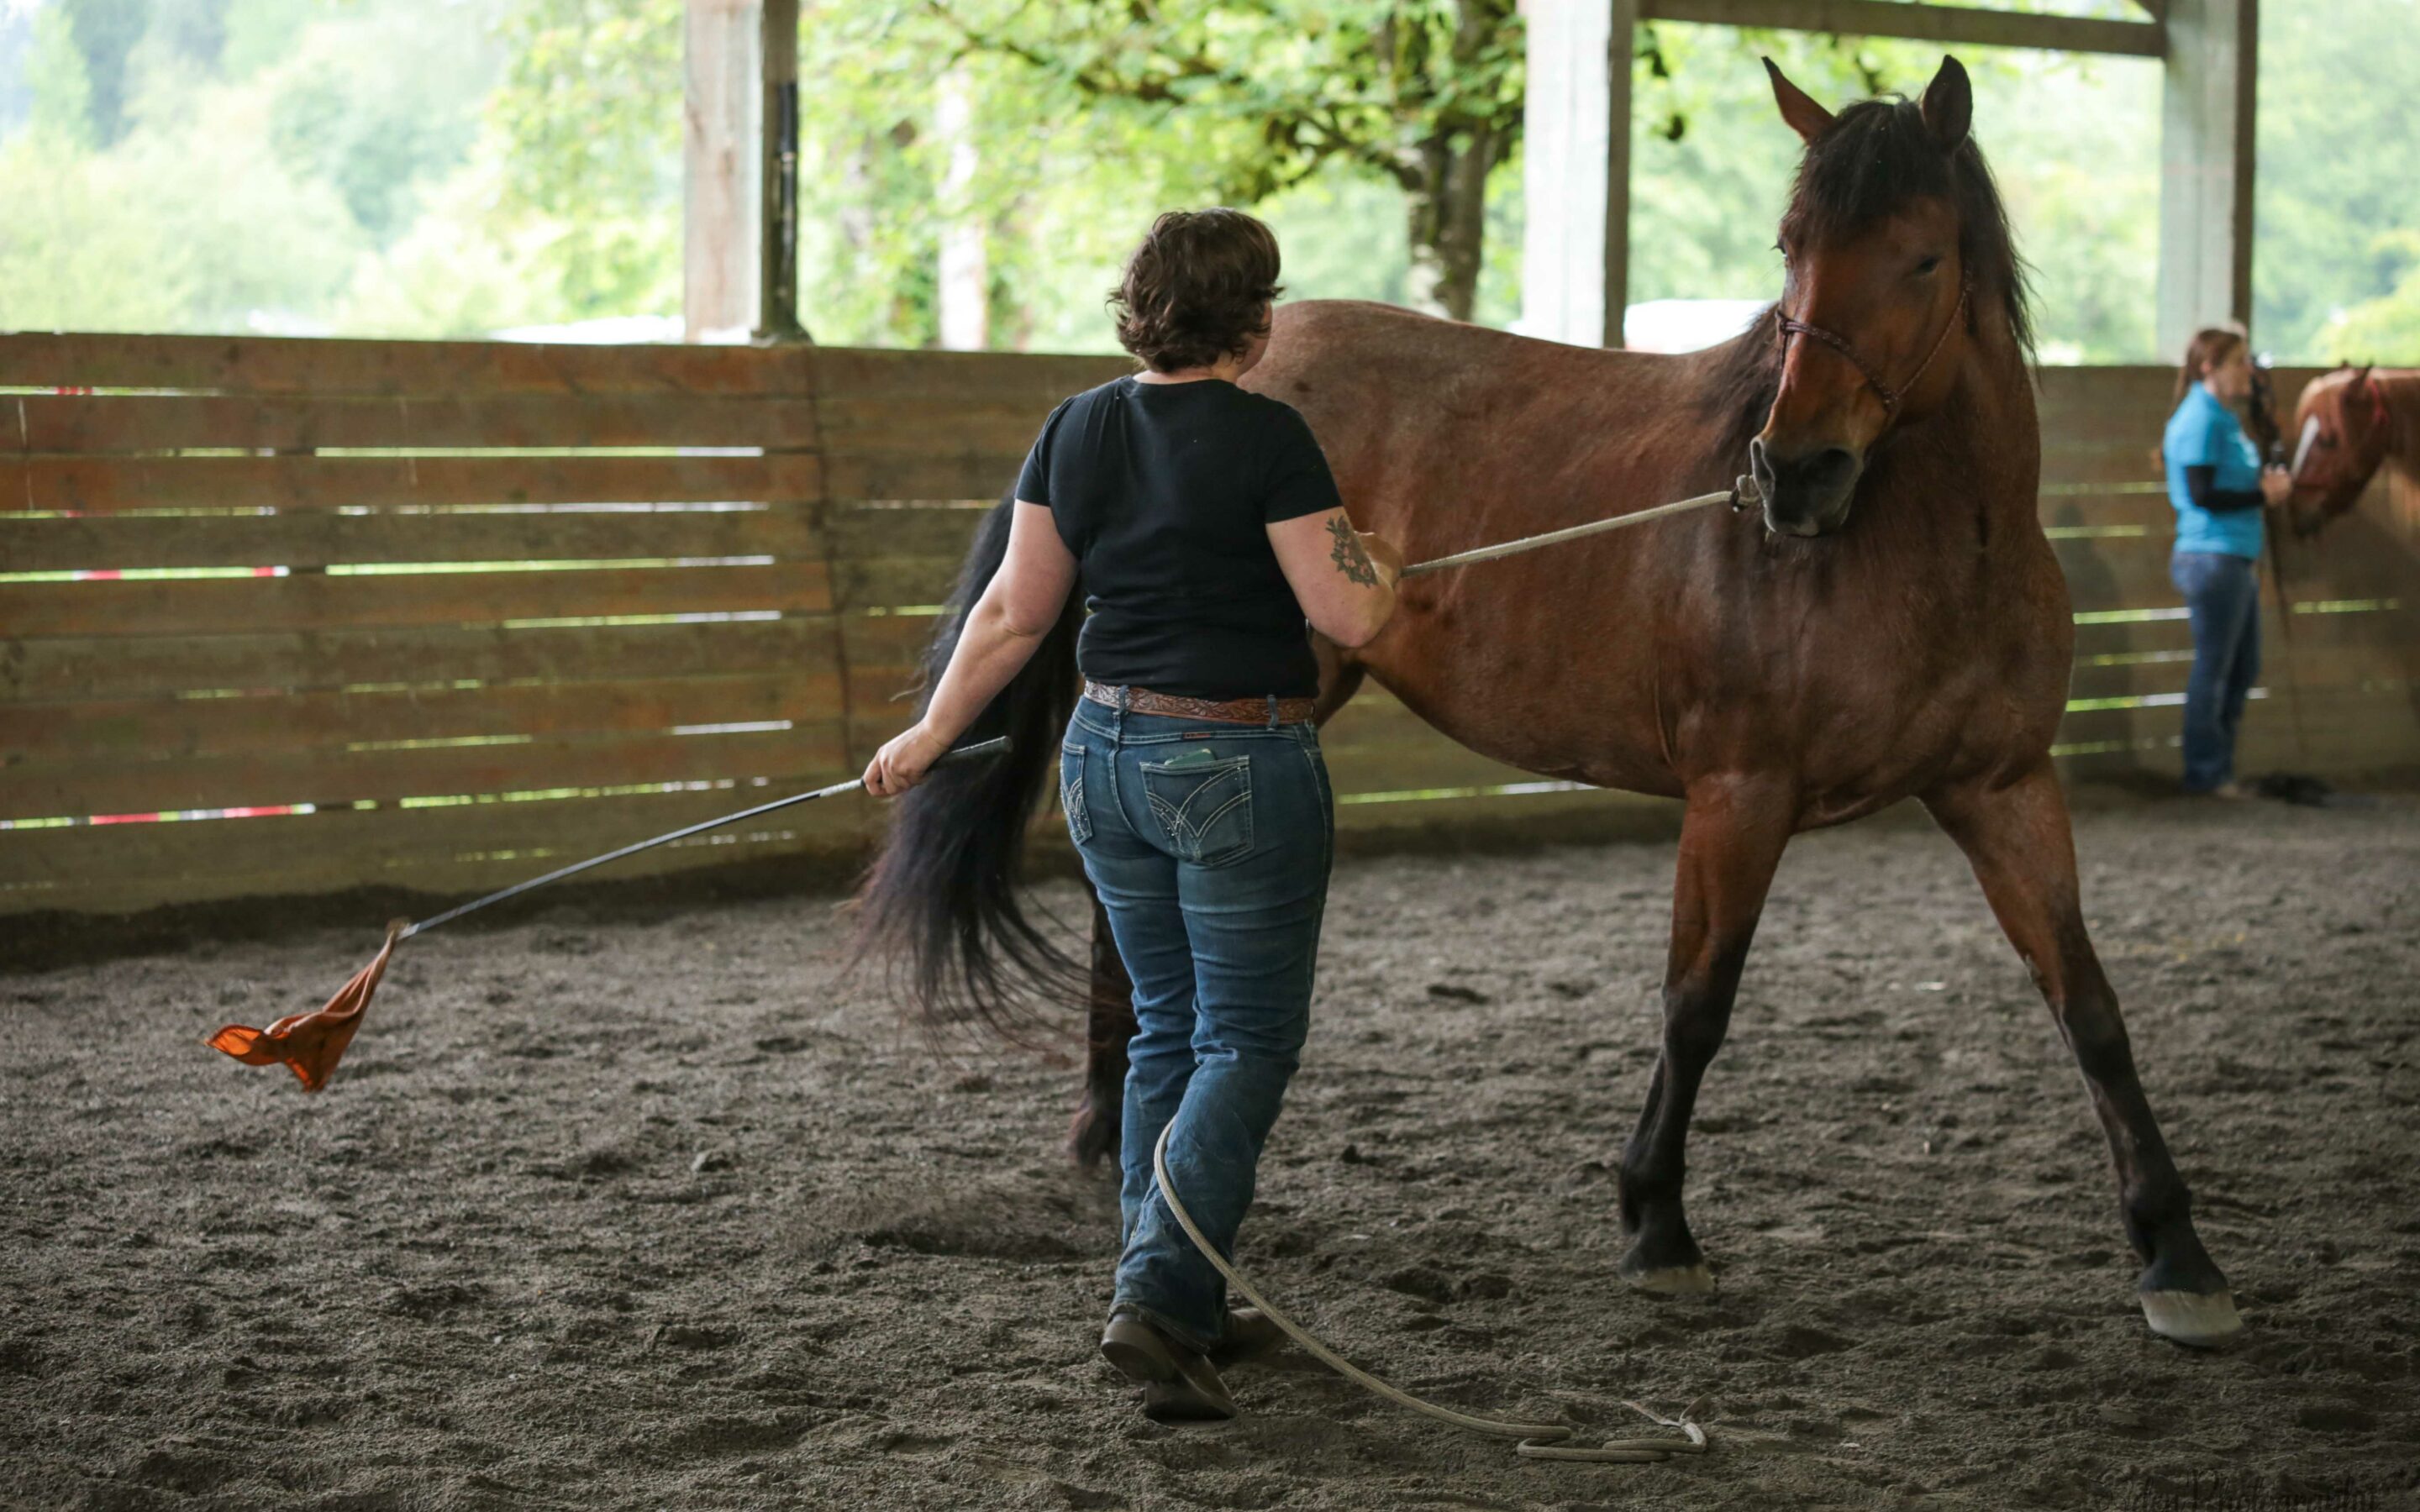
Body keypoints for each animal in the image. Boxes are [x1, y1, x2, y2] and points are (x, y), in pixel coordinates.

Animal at [856, 55, 2245, 1345]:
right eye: (1794, 252)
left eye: (1921, 256)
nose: (1794, 473)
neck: (1925, 549)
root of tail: (1153, 384)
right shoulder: (1739, 797)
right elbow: (1697, 1006)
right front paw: (1658, 1222)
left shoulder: (2003, 790)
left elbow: (2092, 1010)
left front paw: (2177, 1257)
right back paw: (1113, 1143)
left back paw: (1121, 1145)